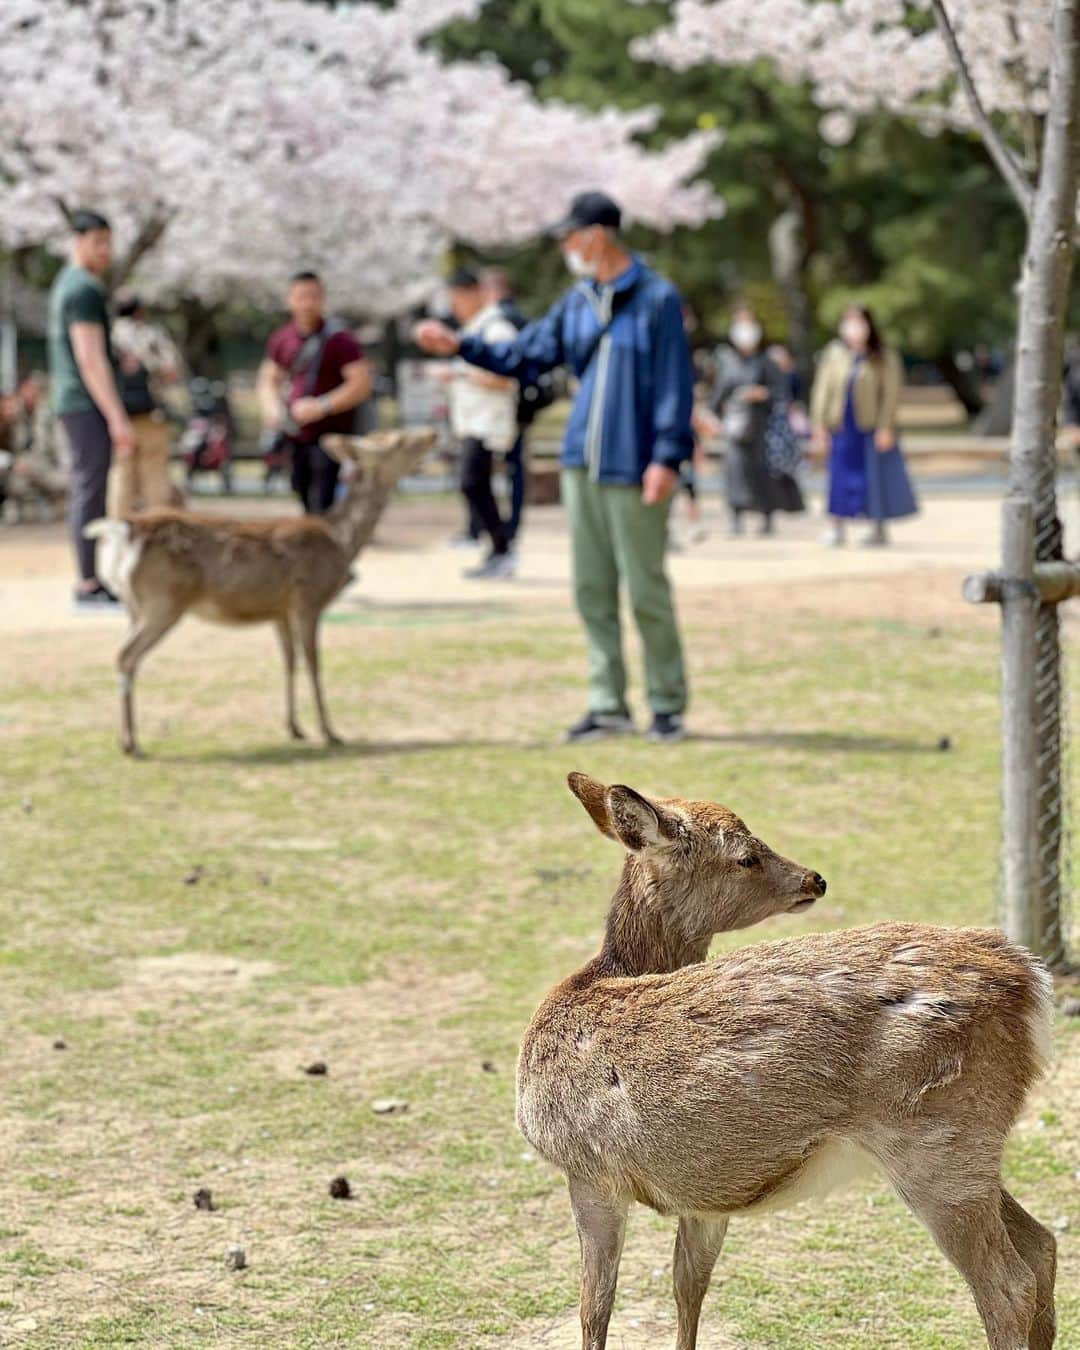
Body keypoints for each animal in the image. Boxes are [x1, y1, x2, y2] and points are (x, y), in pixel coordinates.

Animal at [87, 426, 434, 756]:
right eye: (399, 440)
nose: (432, 434)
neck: (342, 541)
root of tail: (125, 531)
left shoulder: (279, 610)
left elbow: (289, 661)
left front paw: (294, 728)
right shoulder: (308, 600)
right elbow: (314, 663)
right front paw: (330, 732)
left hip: (133, 604)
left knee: (127, 657)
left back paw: (124, 739)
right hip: (163, 600)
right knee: (125, 656)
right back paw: (132, 744)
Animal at [518, 777, 1058, 1350]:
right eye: (746, 856)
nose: (814, 878)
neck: (594, 980)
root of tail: (1029, 980)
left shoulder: (586, 1166)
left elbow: (595, 1305)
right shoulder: (704, 1192)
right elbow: (687, 1286)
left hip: (938, 1141)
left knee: (1008, 1285)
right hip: (970, 1146)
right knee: (1042, 1245)